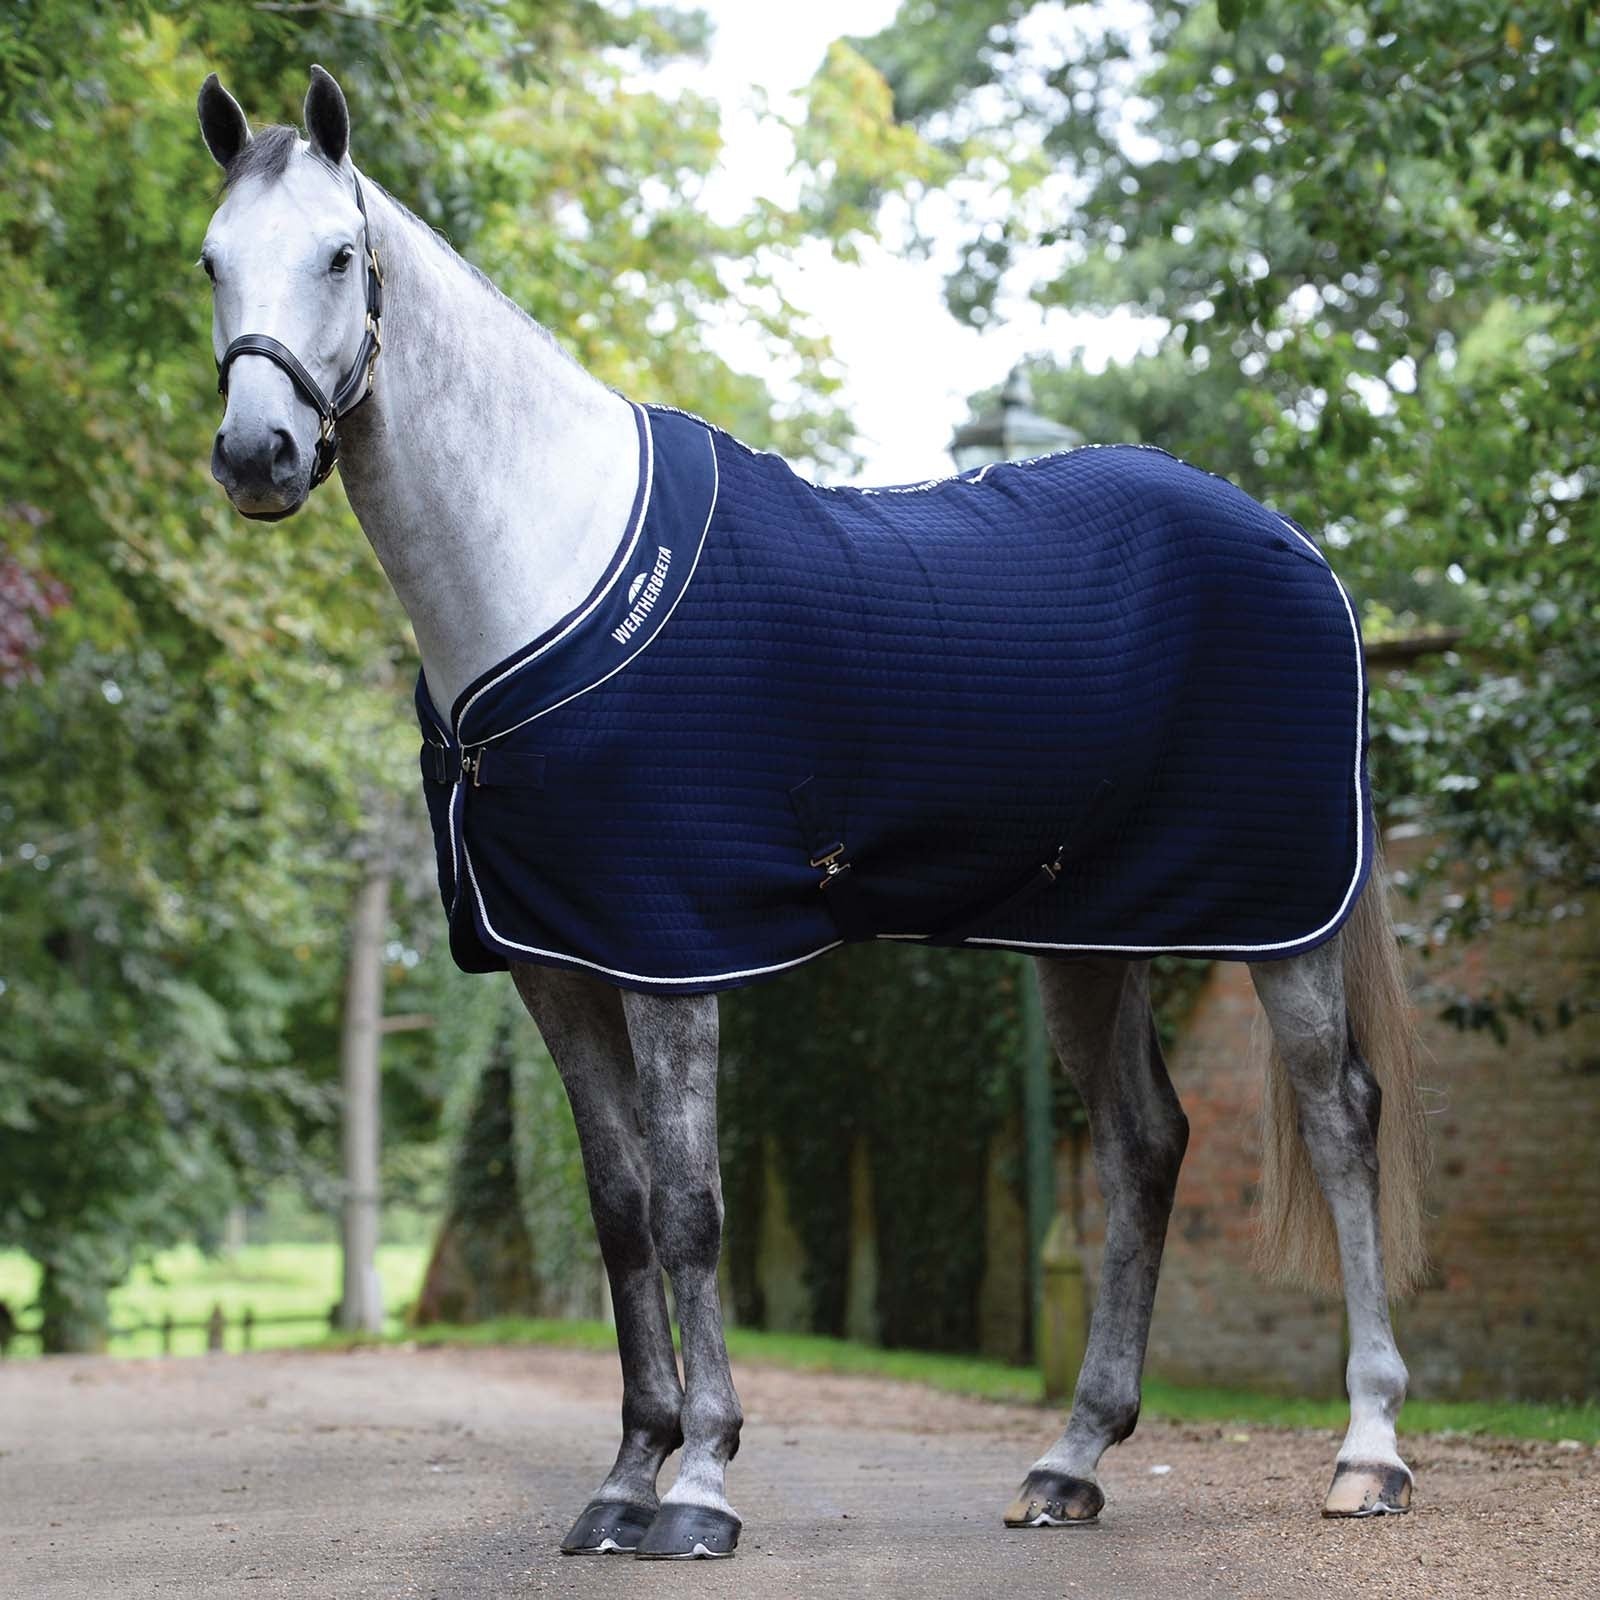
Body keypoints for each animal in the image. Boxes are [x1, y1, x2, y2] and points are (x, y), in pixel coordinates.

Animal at [194, 66, 1430, 1559]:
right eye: (210, 261)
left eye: (339, 255)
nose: (257, 454)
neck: (549, 564)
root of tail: (1304, 554)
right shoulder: (555, 965)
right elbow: (619, 1212)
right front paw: (625, 1479)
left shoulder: (671, 952)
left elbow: (690, 1208)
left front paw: (702, 1486)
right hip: (1088, 939)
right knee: (1145, 1142)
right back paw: (1071, 1461)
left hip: (1278, 921)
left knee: (1339, 1118)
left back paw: (1368, 1451)